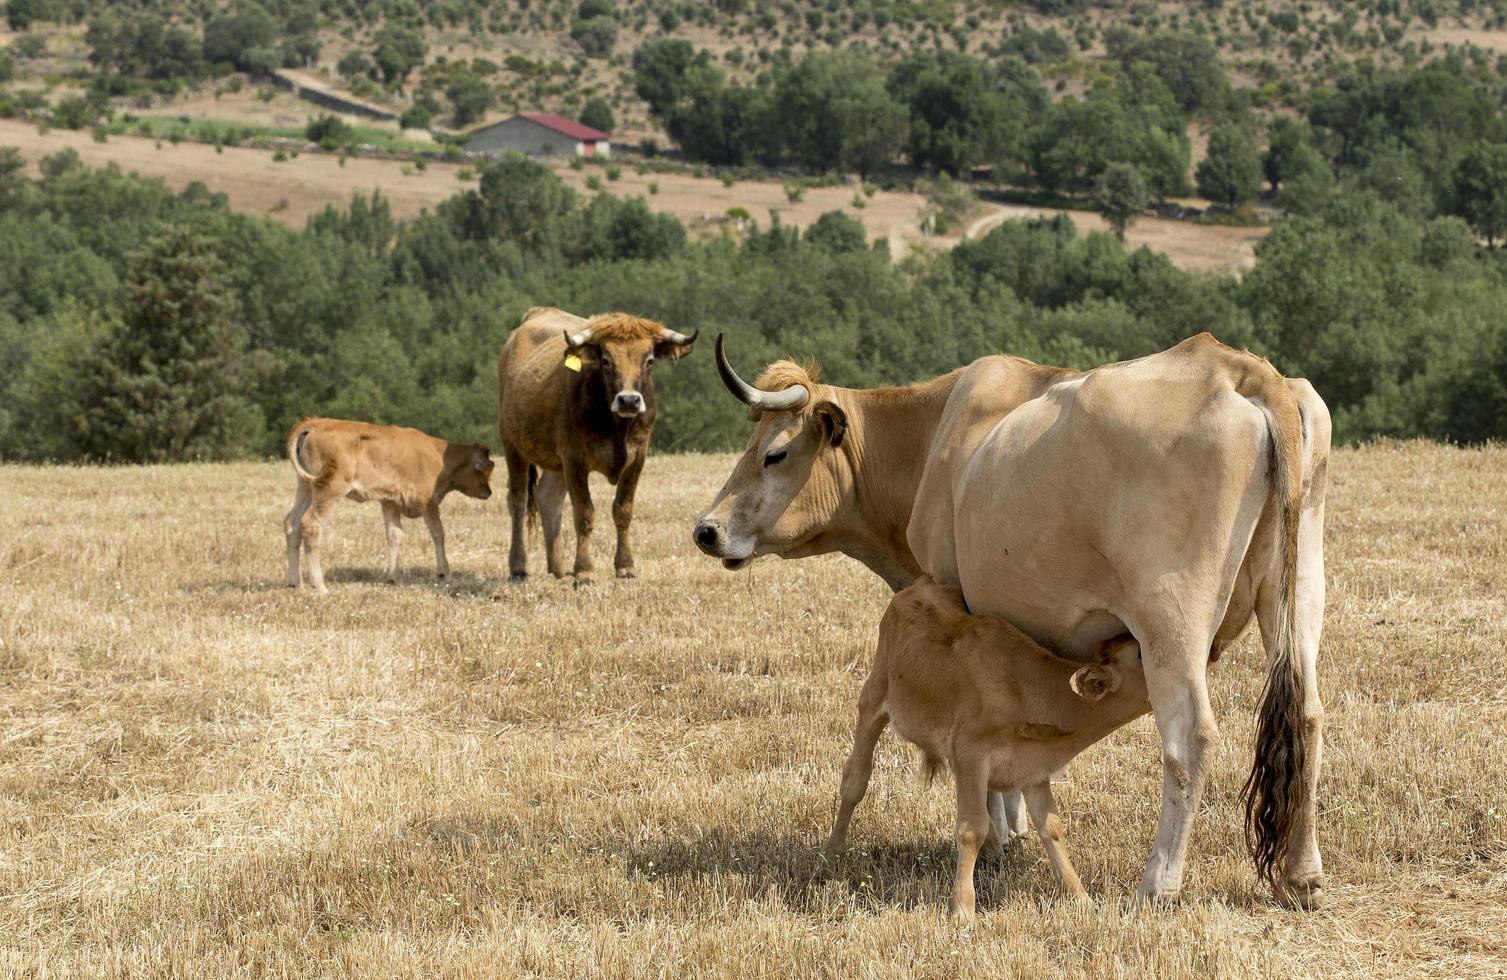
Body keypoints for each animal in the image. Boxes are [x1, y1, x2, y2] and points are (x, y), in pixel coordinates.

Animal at [283, 413, 494, 588]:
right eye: (483, 471)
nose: (489, 492)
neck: (440, 456)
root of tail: (314, 423)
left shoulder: (390, 503)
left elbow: (395, 536)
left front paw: (393, 577)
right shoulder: (429, 504)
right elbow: (438, 534)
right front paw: (445, 574)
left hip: (306, 488)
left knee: (291, 523)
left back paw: (296, 583)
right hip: (330, 490)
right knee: (310, 524)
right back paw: (320, 586)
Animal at [500, 304, 699, 578]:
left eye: (648, 361)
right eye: (606, 360)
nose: (629, 400)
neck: (617, 427)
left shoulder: (637, 457)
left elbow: (623, 510)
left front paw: (625, 566)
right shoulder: (574, 459)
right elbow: (584, 514)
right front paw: (584, 571)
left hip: (555, 463)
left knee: (548, 498)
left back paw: (559, 567)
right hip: (513, 445)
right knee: (518, 501)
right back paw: (519, 566)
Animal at [831, 575, 1145, 910]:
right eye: (1139, 656)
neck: (1026, 689)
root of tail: (921, 585)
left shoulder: (1031, 765)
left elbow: (1051, 826)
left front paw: (1079, 896)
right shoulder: (972, 753)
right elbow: (971, 829)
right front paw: (963, 906)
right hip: (874, 695)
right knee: (854, 779)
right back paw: (833, 849)